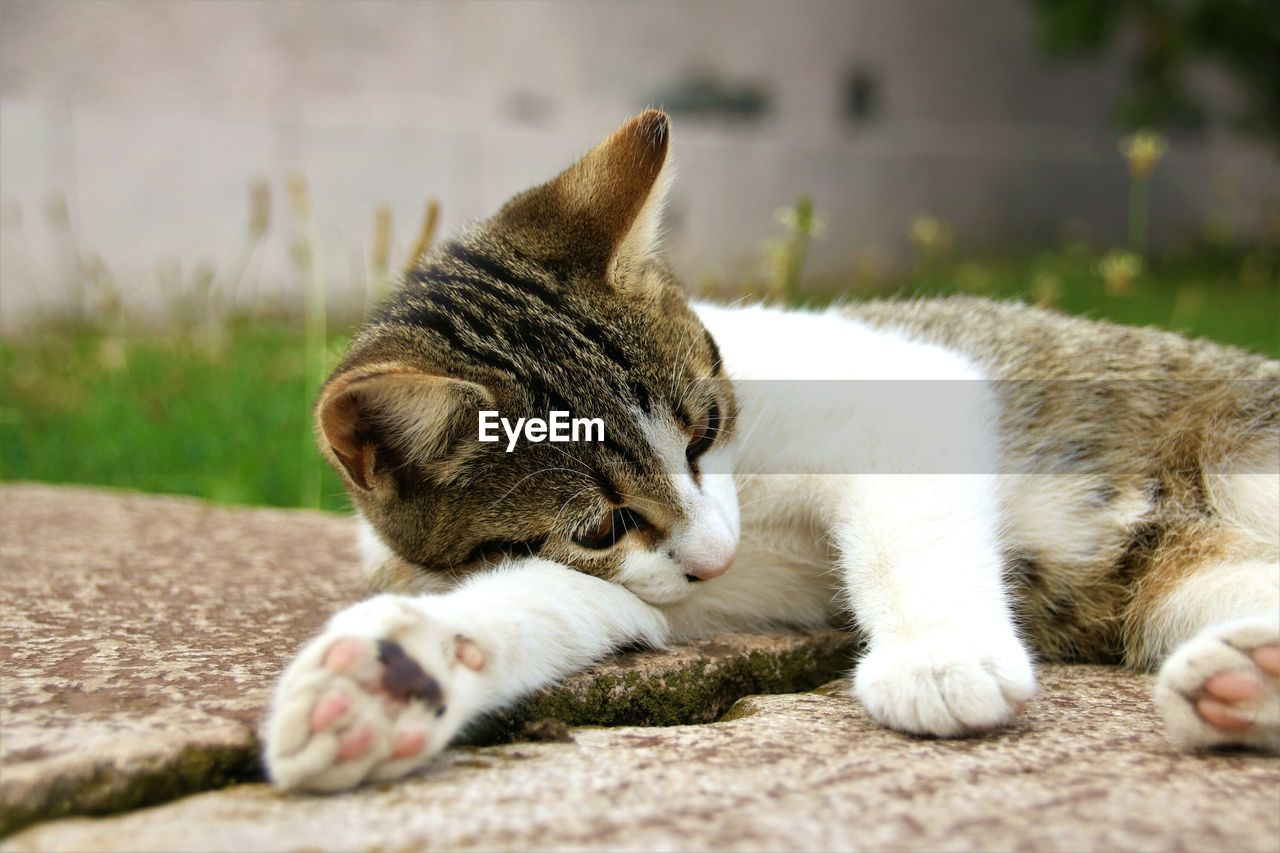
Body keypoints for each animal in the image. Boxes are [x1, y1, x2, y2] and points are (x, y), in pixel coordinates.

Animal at [264, 109, 1274, 788]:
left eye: (706, 427)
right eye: (600, 528)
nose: (719, 553)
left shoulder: (911, 379)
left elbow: (903, 520)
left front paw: (938, 657)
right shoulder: (665, 592)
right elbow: (554, 600)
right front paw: (396, 676)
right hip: (1184, 585)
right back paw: (1246, 676)